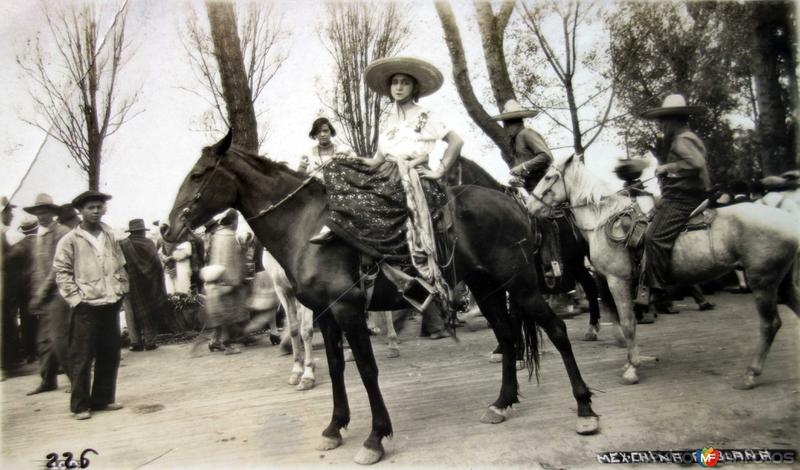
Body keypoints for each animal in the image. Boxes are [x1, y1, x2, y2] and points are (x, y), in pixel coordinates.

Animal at [164, 132, 600, 462]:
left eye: (198, 174)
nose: (169, 229)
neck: (307, 228)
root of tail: (515, 203)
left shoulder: (348, 310)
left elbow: (366, 369)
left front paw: (375, 437)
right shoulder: (323, 313)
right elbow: (337, 367)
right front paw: (334, 426)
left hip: (521, 285)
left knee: (557, 331)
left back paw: (584, 408)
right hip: (487, 288)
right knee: (508, 337)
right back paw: (501, 402)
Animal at [528, 156, 796, 388]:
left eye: (549, 177)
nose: (530, 206)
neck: (603, 220)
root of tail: (790, 220)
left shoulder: (617, 280)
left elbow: (628, 322)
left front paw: (632, 368)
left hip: (763, 282)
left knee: (770, 324)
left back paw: (751, 373)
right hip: (782, 283)